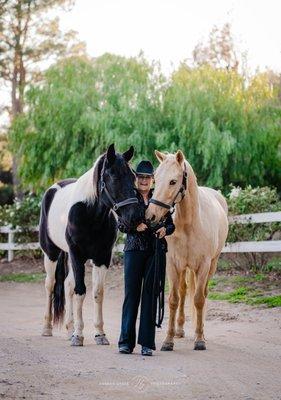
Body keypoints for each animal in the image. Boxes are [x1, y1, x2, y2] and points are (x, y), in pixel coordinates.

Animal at [39, 145, 140, 346]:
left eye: (133, 176)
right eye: (114, 177)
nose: (134, 217)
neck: (90, 214)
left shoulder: (102, 257)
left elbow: (97, 293)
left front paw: (99, 334)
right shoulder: (77, 255)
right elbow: (80, 291)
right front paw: (79, 335)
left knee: (67, 284)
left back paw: (69, 329)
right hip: (51, 254)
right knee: (50, 284)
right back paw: (48, 328)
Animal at [144, 150, 228, 350]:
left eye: (173, 181)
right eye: (156, 179)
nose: (151, 217)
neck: (190, 224)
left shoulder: (204, 266)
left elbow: (198, 299)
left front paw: (199, 339)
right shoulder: (172, 265)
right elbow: (174, 299)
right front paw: (168, 340)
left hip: (212, 265)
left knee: (203, 293)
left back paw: (201, 332)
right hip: (183, 268)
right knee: (182, 292)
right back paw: (180, 330)